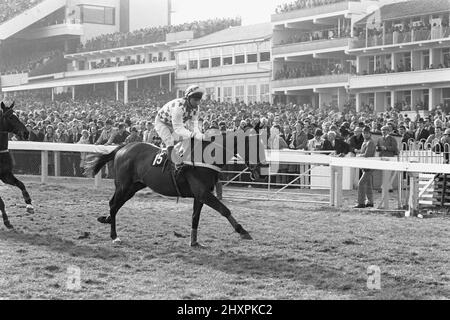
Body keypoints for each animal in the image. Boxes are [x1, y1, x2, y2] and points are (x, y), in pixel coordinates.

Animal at [0, 101, 34, 229]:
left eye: (17, 115)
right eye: (10, 117)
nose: (26, 133)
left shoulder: (5, 175)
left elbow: (21, 184)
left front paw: (29, 204)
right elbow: (1, 202)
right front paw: (6, 221)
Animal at [84, 131, 268, 246]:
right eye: (255, 149)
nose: (262, 173)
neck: (206, 158)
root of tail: (122, 148)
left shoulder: (200, 195)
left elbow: (195, 217)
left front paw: (194, 242)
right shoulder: (203, 193)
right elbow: (225, 210)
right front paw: (243, 231)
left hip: (133, 186)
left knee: (115, 205)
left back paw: (107, 220)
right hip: (123, 185)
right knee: (113, 204)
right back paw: (114, 236)